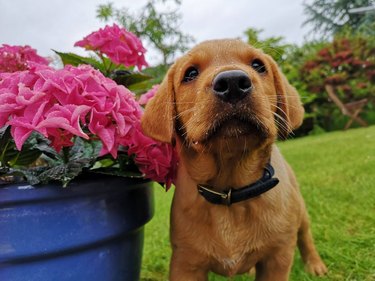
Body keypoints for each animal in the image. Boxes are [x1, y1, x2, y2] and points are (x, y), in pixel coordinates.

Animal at [142, 40, 328, 280]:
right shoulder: (185, 263)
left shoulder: (277, 258)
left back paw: (315, 265)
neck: (230, 191)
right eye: (190, 73)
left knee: (305, 236)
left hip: (300, 211)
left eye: (258, 65)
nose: (232, 83)